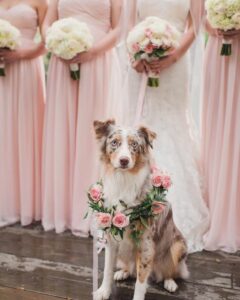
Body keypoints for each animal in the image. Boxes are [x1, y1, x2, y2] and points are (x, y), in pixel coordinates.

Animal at [93, 119, 188, 300]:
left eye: (134, 144)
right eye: (114, 142)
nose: (124, 160)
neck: (123, 180)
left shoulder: (146, 244)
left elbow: (141, 280)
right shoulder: (112, 237)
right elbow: (108, 269)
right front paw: (103, 291)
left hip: (177, 247)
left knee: (172, 270)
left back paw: (170, 282)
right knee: (130, 269)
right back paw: (123, 272)